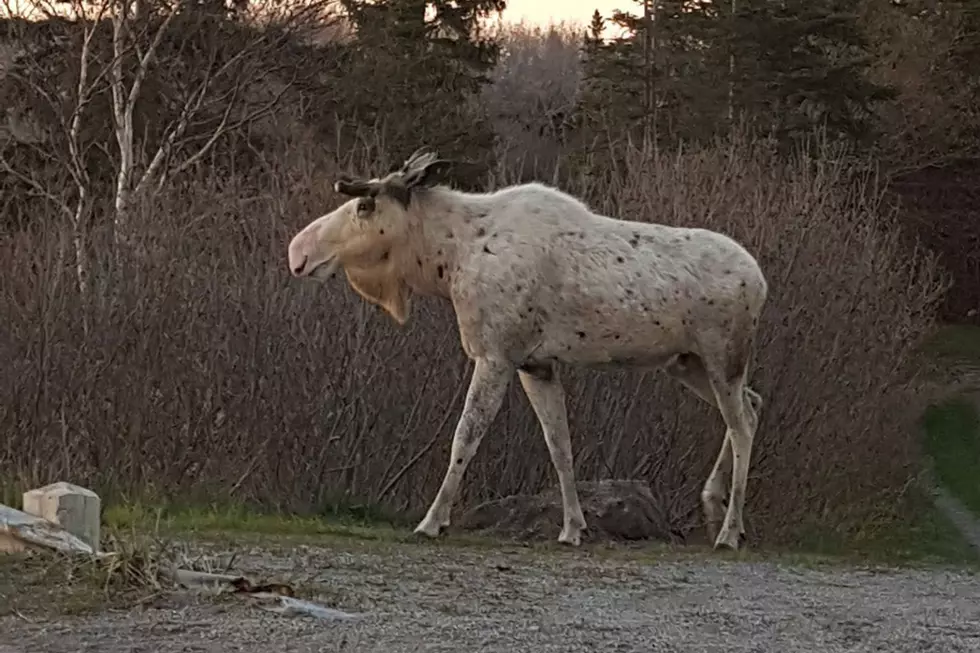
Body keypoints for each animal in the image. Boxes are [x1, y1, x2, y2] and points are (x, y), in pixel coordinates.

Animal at [288, 149, 768, 552]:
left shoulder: (496, 354)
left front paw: (432, 520)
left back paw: (729, 531)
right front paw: (573, 527)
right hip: (688, 364)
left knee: (742, 423)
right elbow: (559, 445)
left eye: (364, 206)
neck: (447, 260)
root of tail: (762, 282)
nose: (298, 252)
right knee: (754, 404)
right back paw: (717, 508)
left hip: (723, 358)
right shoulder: (536, 365)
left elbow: (466, 435)